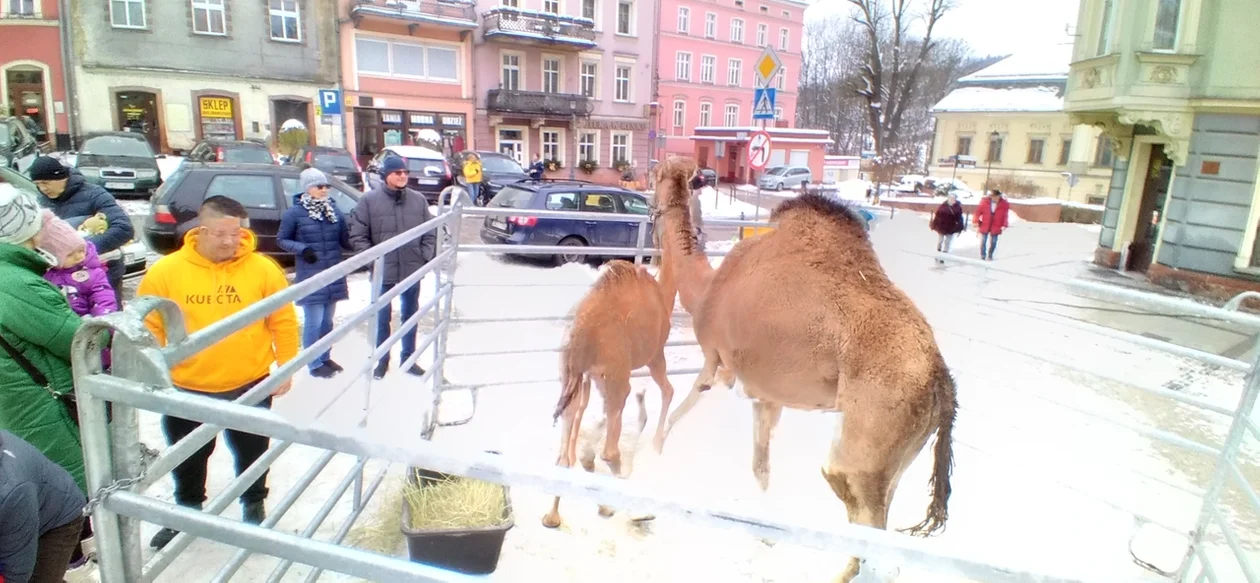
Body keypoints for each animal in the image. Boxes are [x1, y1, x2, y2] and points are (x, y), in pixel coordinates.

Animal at [541, 255, 680, 528]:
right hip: (618, 375)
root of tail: (578, 334)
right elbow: (668, 392)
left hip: (571, 377)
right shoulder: (654, 354)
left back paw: (554, 517)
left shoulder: (591, 378)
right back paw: (635, 511)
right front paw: (656, 445)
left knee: (565, 455)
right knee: (609, 451)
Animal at [655, 157, 957, 581]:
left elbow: (675, 416)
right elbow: (760, 467)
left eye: (656, 176)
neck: (707, 286)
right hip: (906, 447)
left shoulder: (718, 363)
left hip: (870, 436)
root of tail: (944, 383)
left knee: (858, 504)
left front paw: (647, 471)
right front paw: (764, 537)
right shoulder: (765, 394)